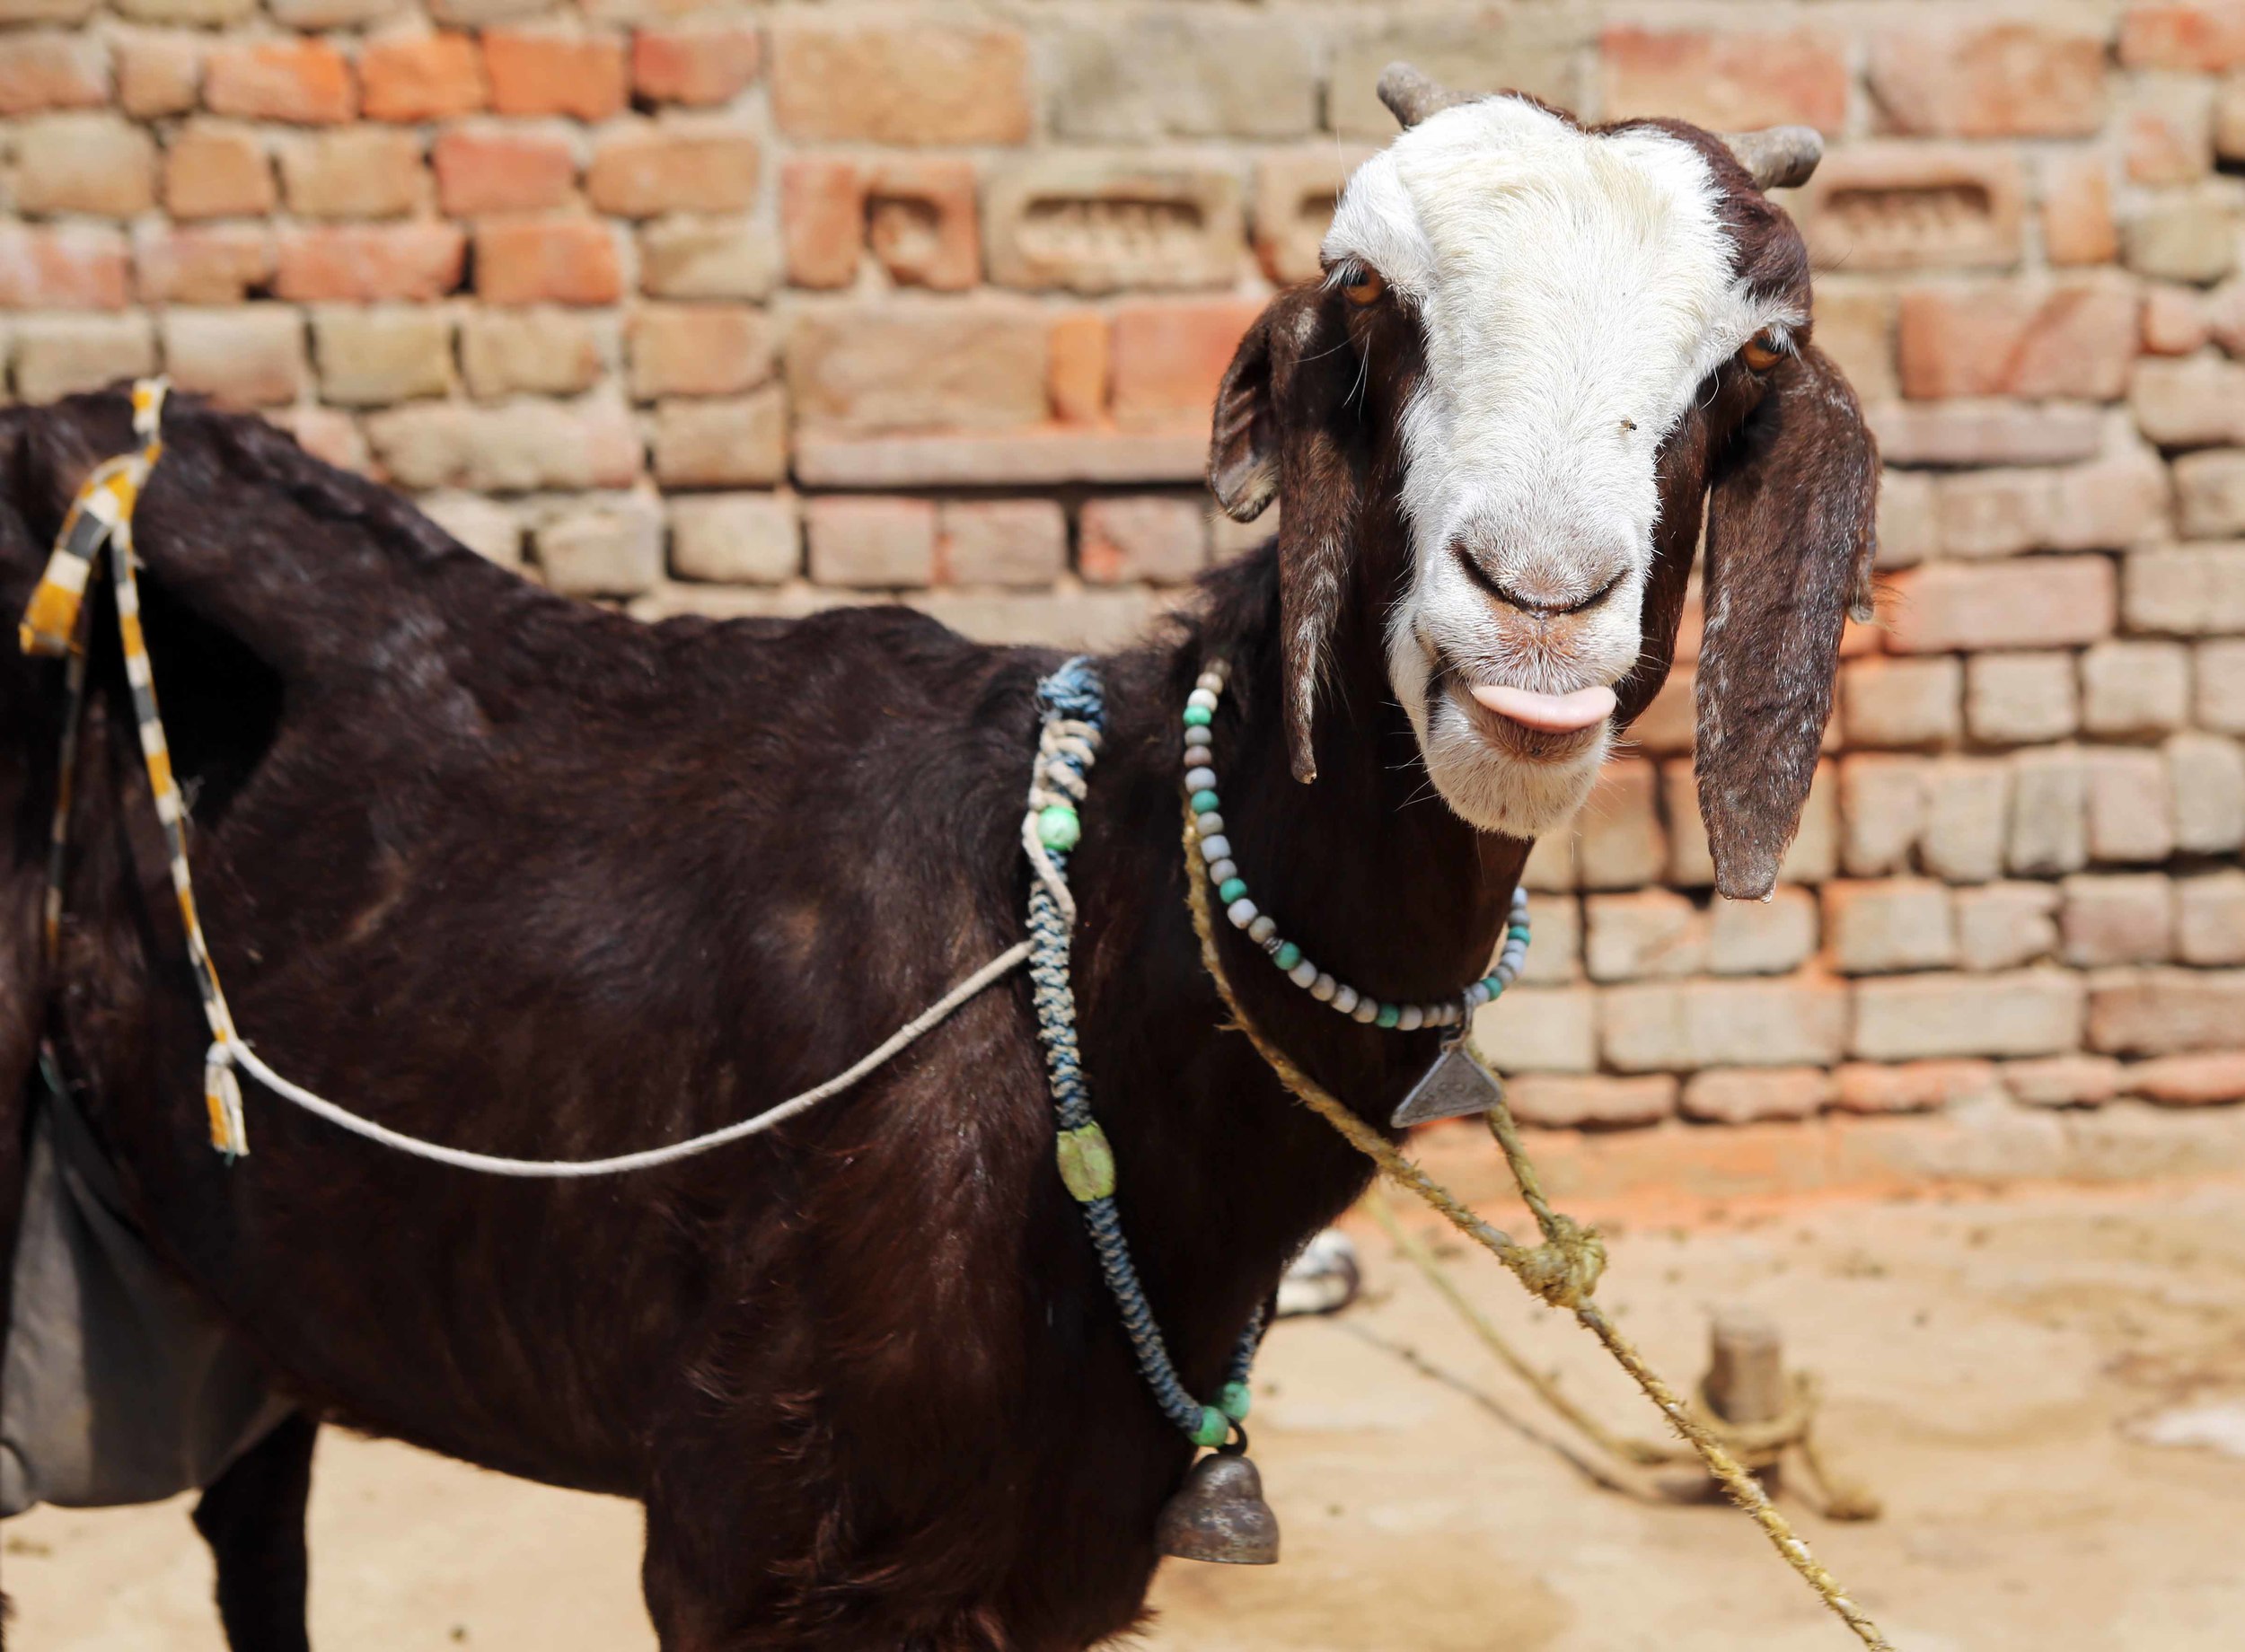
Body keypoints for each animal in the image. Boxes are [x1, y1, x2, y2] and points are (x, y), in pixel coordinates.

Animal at [0, 69, 1875, 1651]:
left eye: (1743, 374)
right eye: (1366, 308)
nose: (1537, 610)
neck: (1092, 954)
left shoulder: (1041, 1565)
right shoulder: (742, 1534)